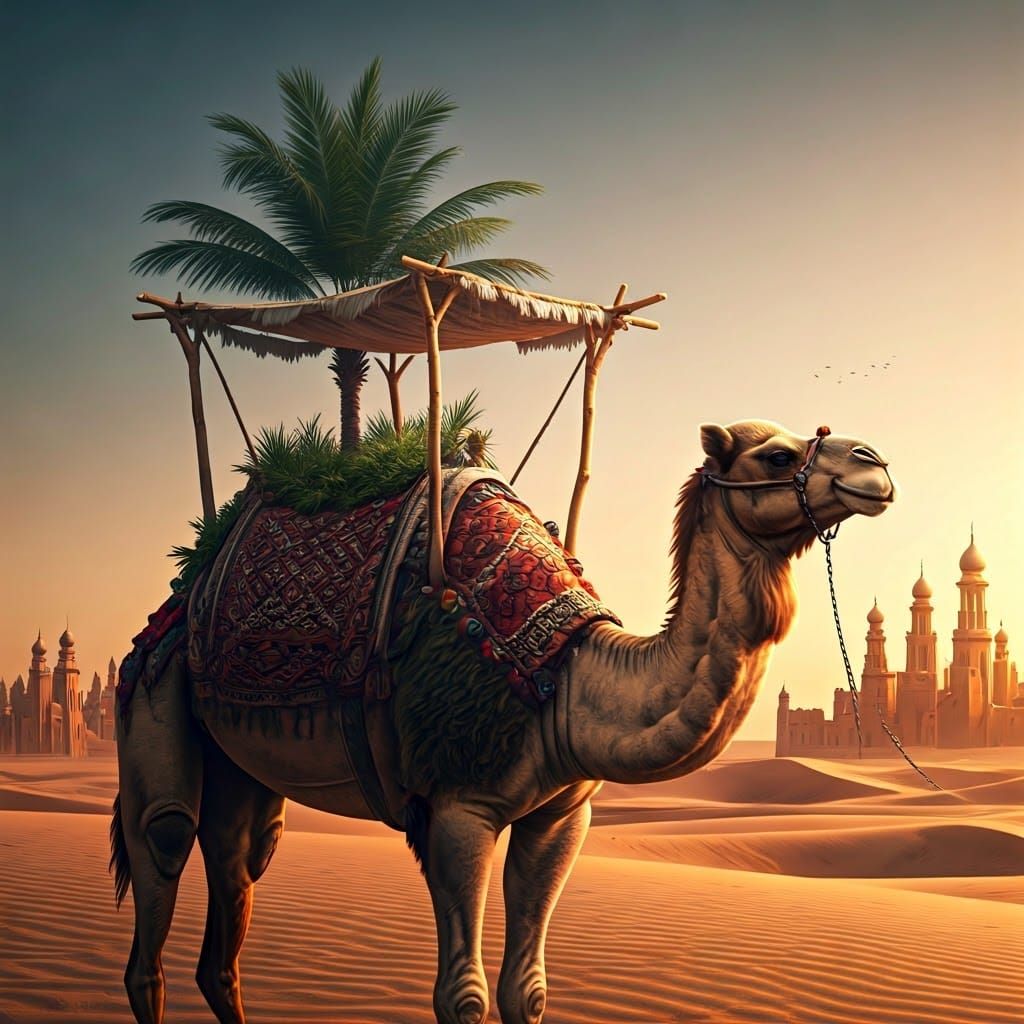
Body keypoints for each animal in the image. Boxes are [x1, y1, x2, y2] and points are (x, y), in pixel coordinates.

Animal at [112, 418, 894, 1024]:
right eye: (778, 456)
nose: (877, 464)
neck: (563, 677)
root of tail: (185, 588)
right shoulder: (459, 804)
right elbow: (462, 997)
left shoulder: (561, 814)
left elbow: (529, 992)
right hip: (156, 683)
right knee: (163, 853)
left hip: (241, 764)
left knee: (236, 875)